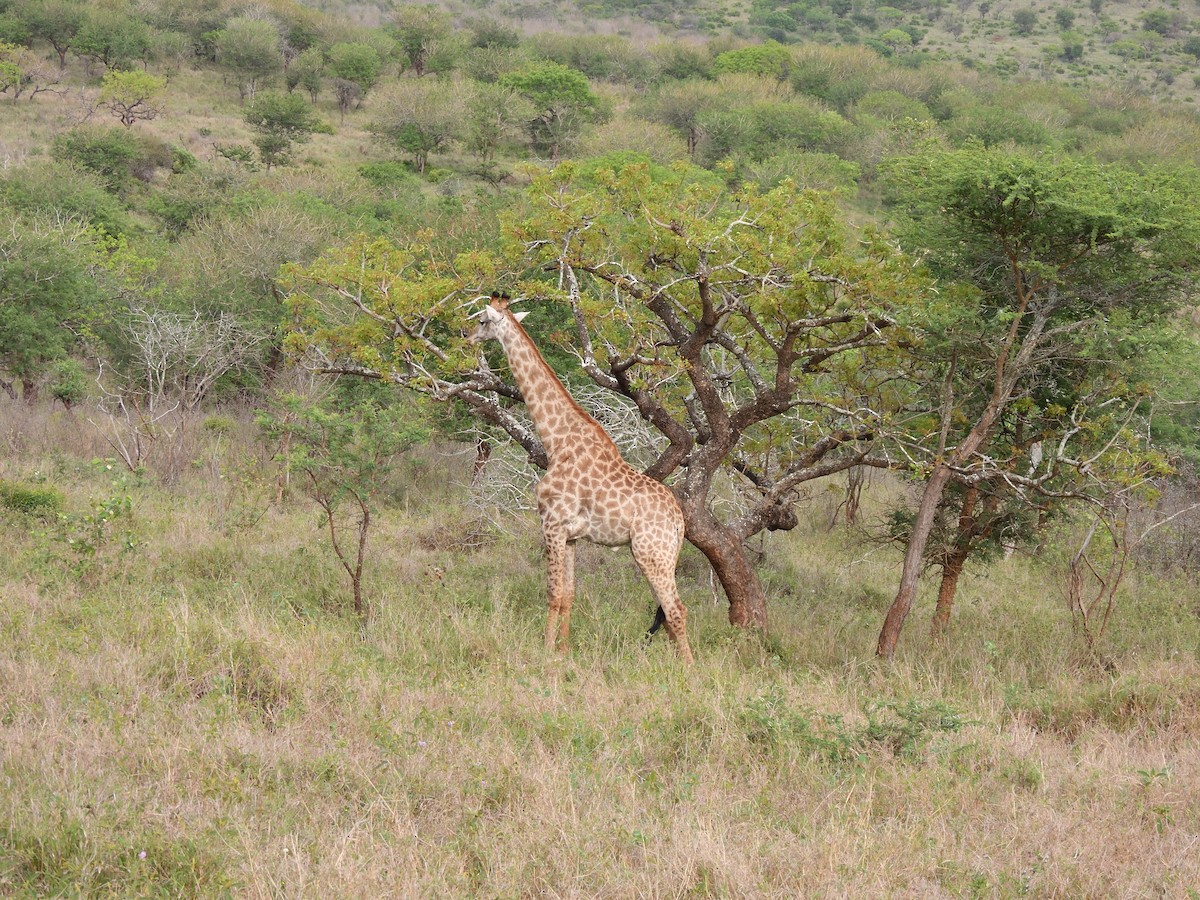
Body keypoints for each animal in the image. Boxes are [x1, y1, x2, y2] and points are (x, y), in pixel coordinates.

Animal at [469, 295, 694, 664]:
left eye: (482, 321)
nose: (466, 335)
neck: (556, 439)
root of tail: (679, 522)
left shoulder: (551, 523)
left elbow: (553, 593)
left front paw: (546, 651)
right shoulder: (571, 535)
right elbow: (570, 594)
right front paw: (563, 650)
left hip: (651, 552)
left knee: (676, 609)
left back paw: (687, 670)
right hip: (663, 555)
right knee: (671, 611)